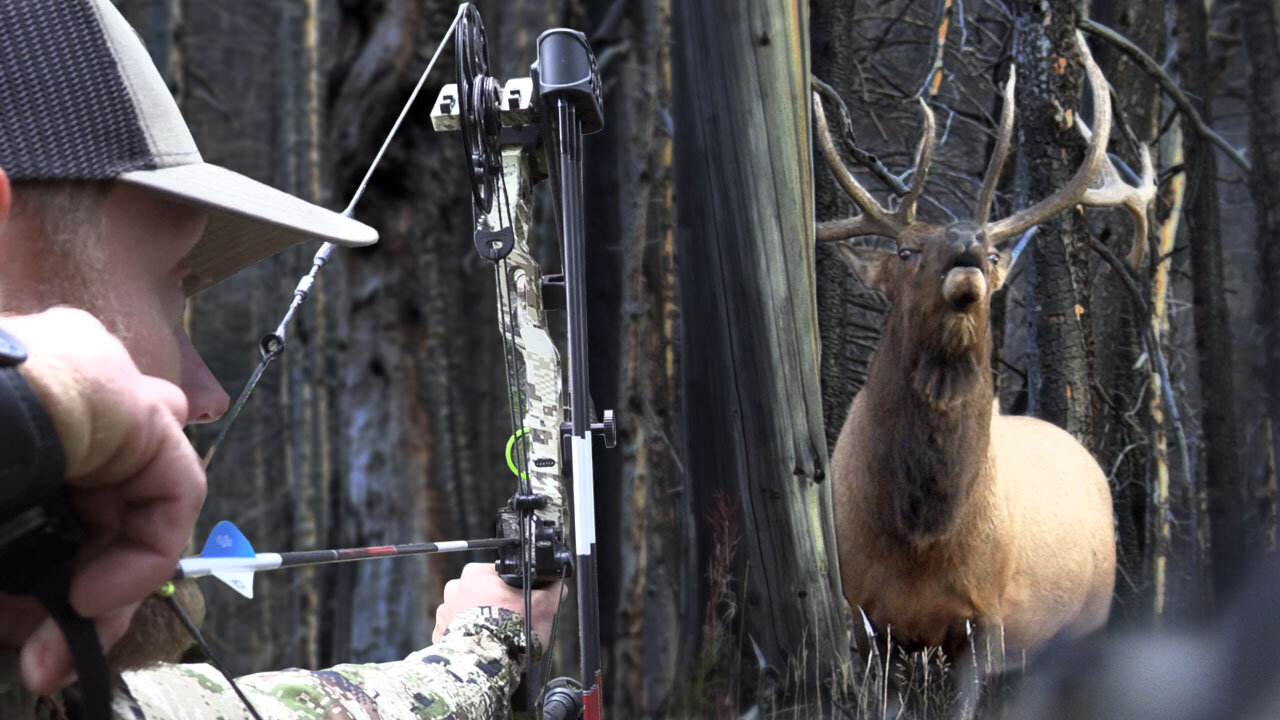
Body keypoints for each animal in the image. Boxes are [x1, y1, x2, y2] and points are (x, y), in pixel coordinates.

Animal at [824, 33, 1157, 661]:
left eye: (997, 253)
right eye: (905, 251)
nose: (967, 243)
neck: (922, 537)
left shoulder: (989, 614)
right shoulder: (861, 613)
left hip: (1090, 616)